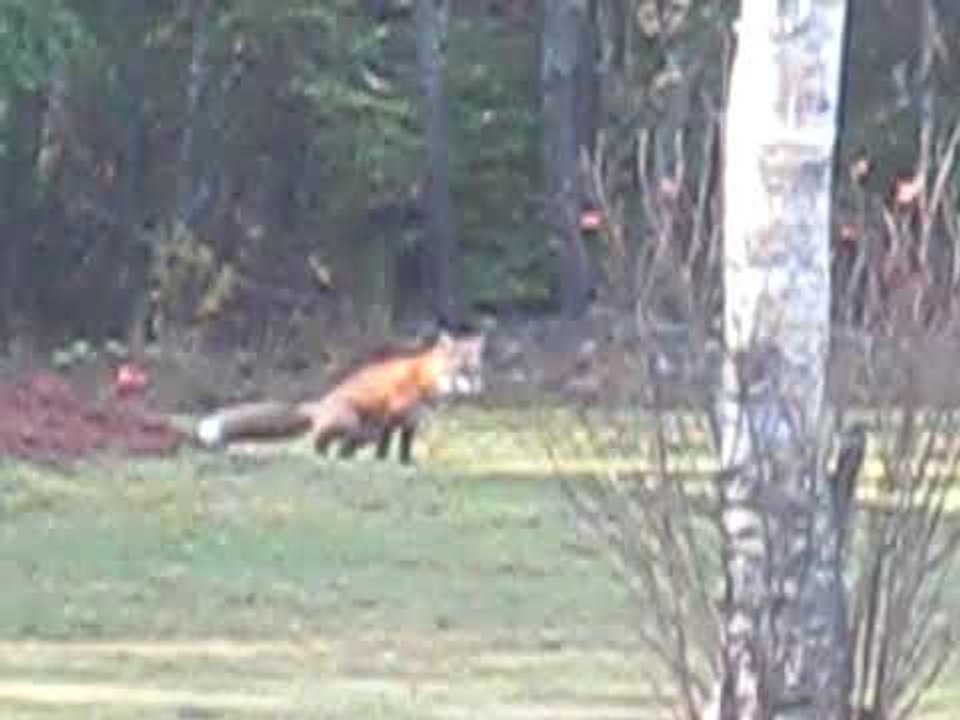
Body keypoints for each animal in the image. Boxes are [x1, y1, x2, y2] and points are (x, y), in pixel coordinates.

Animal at [195, 329, 485, 464]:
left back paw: (344, 460)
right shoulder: (390, 416)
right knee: (319, 440)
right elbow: (385, 448)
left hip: (362, 433)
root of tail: (320, 403)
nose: (474, 389)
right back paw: (323, 457)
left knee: (343, 448)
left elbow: (404, 448)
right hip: (351, 421)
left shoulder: (409, 423)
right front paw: (383, 464)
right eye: (459, 370)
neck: (425, 381)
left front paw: (405, 465)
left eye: (474, 371)